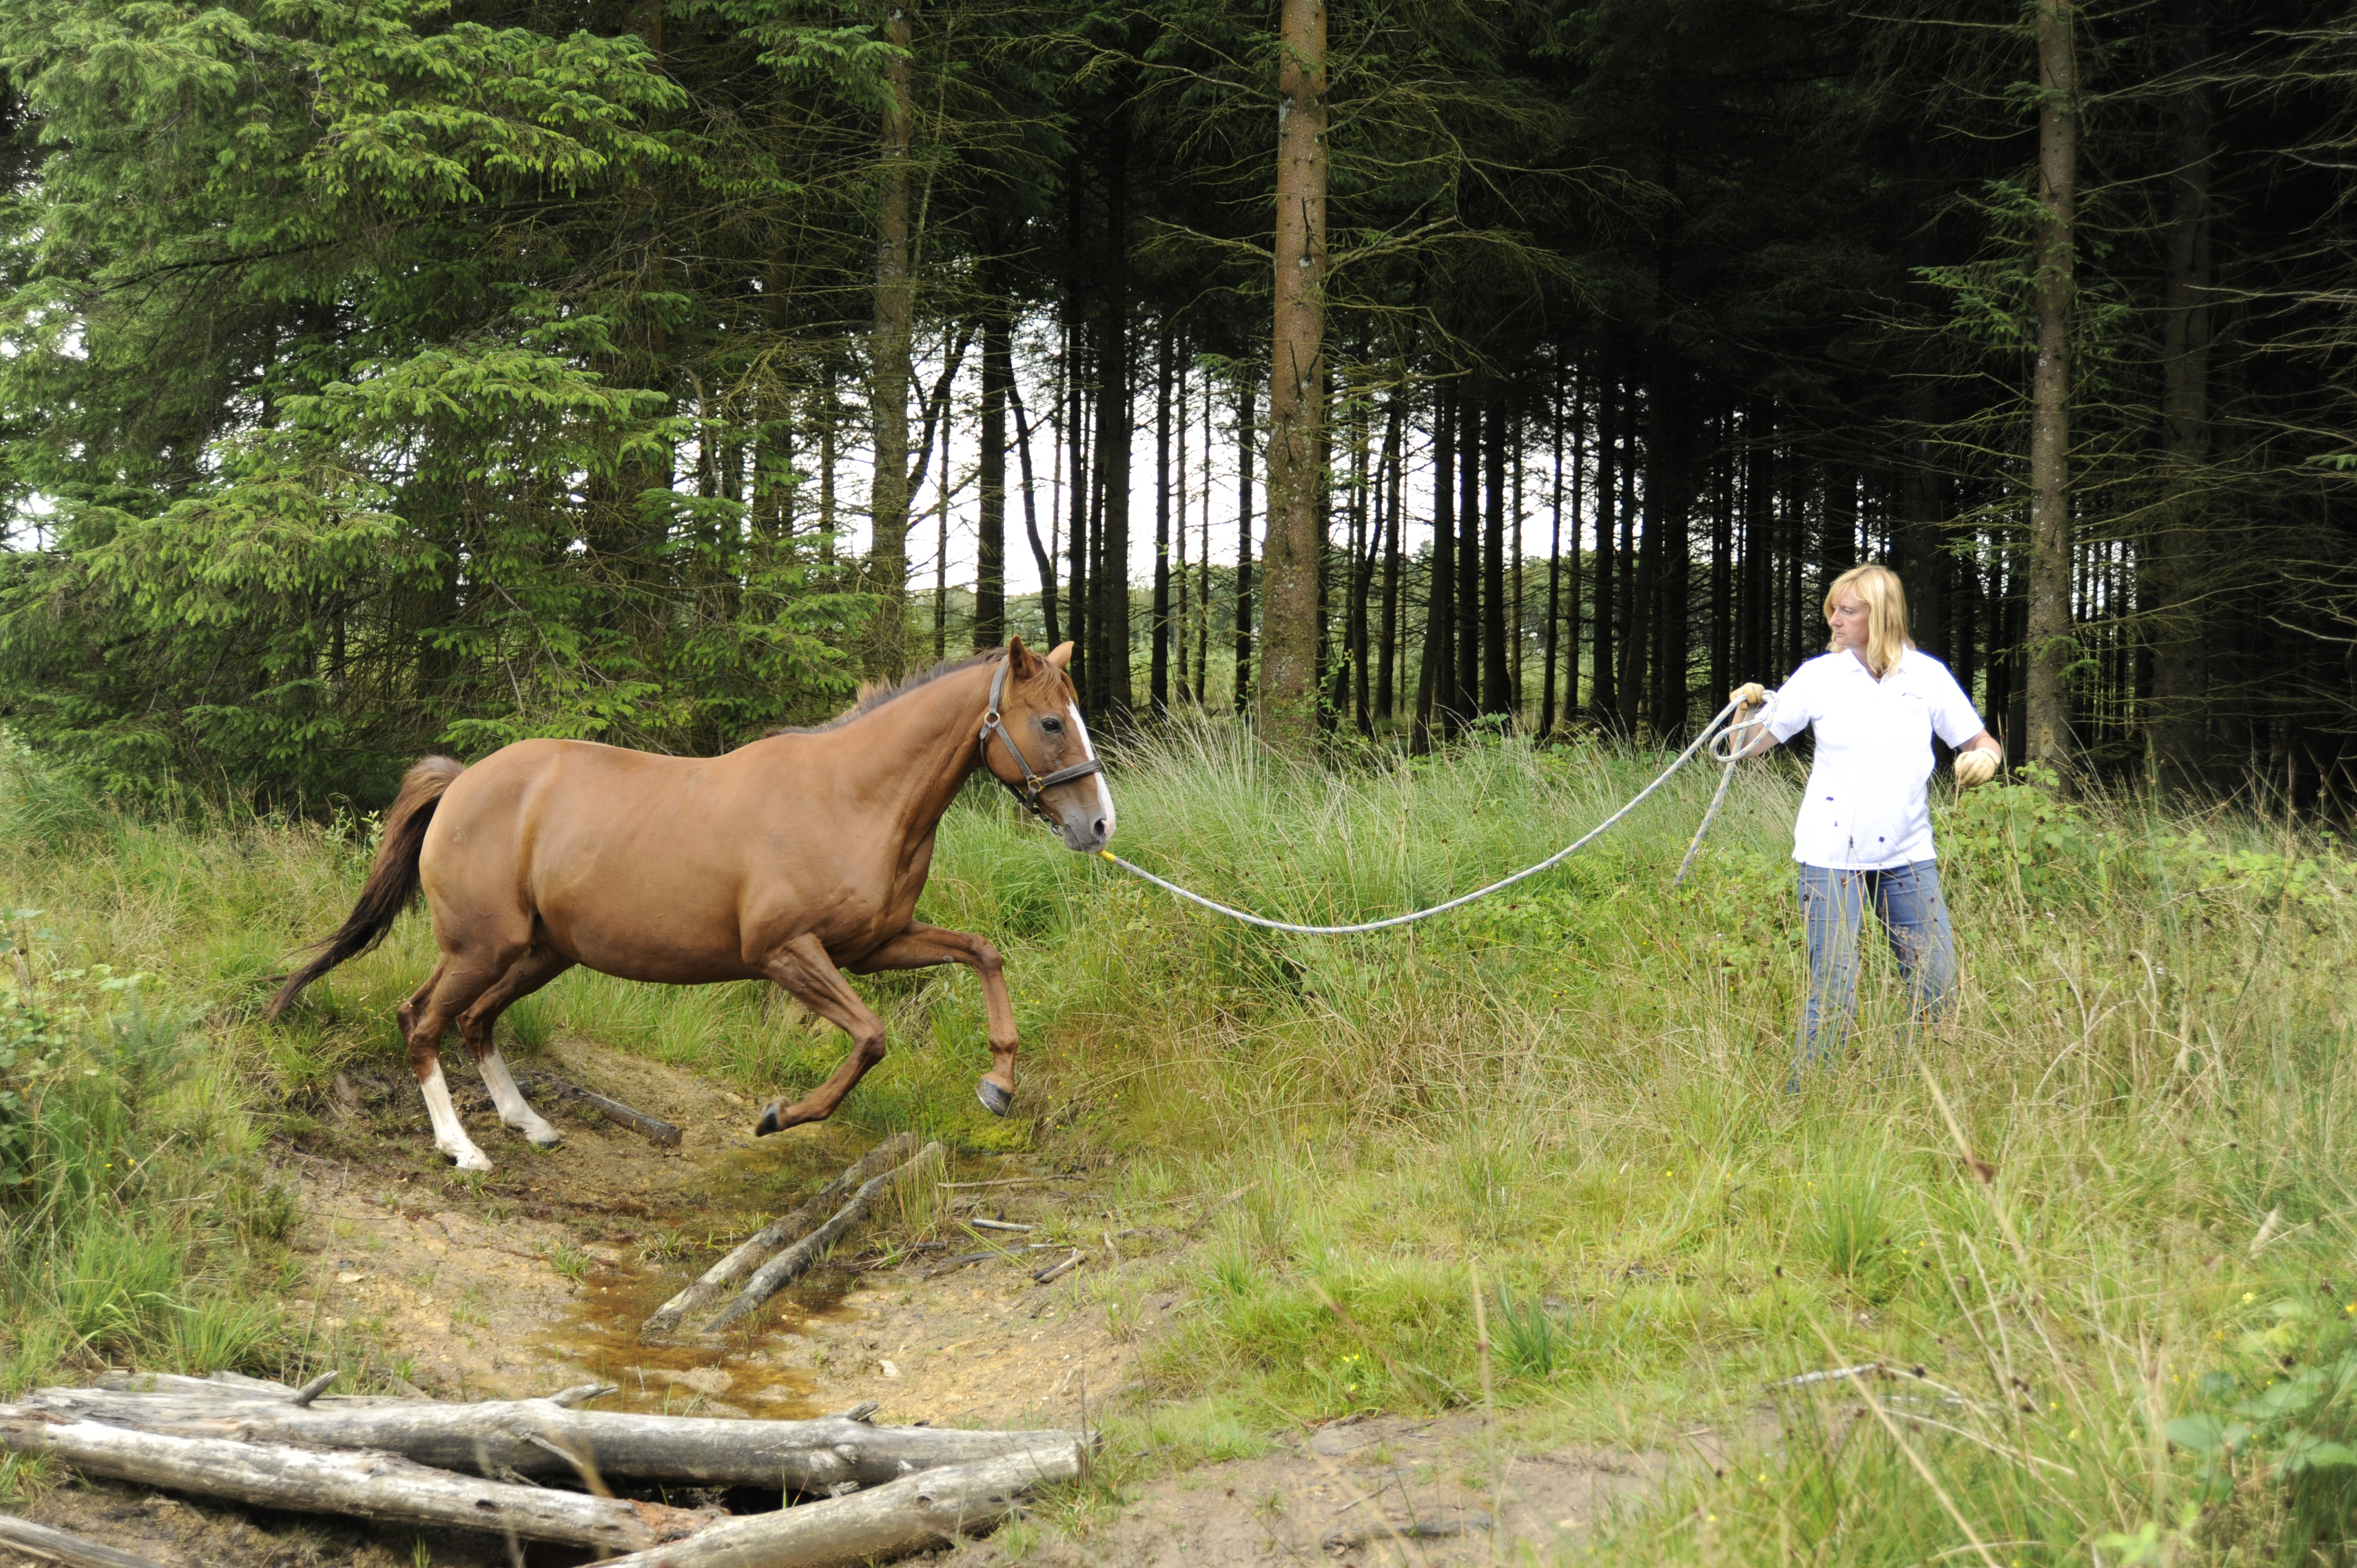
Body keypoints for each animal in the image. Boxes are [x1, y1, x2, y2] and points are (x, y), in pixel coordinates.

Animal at [271, 636, 1117, 1160]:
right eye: (1050, 721)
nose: (1099, 824)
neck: (851, 796)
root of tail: (462, 782)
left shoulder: (875, 946)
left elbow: (983, 952)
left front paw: (999, 1085)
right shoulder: (785, 952)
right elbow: (872, 1039)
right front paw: (780, 1117)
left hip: (539, 953)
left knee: (475, 1023)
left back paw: (529, 1125)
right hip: (481, 947)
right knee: (422, 1021)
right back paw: (463, 1149)